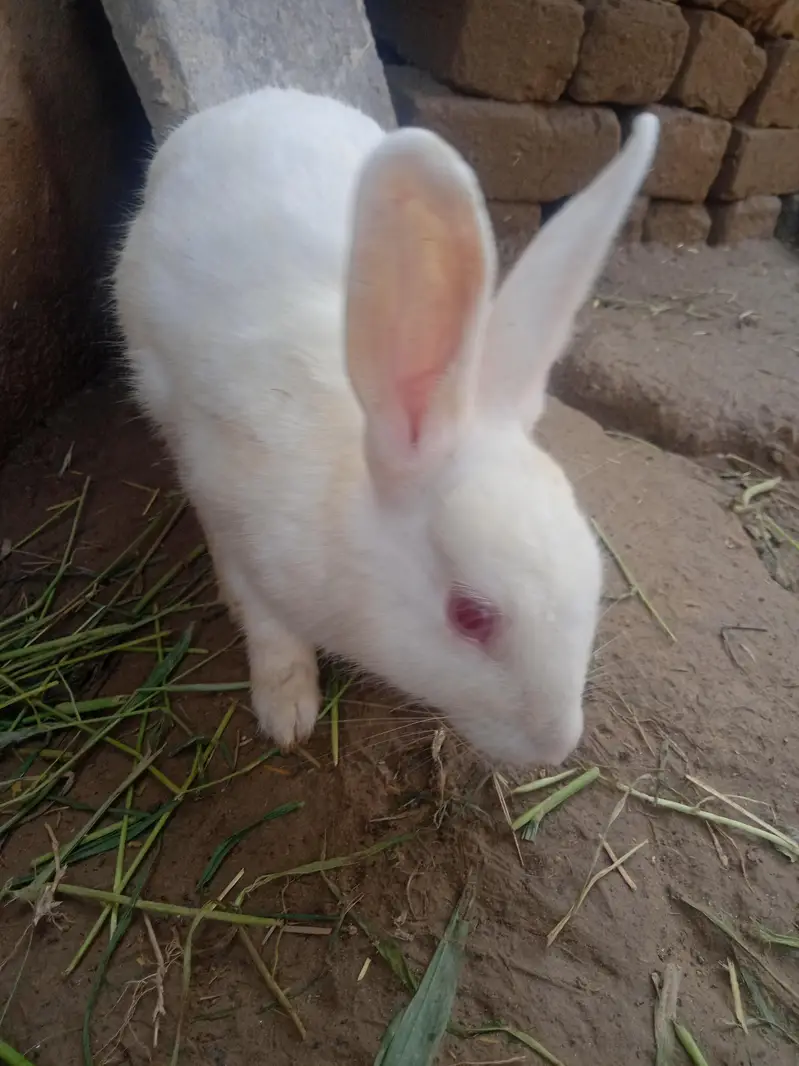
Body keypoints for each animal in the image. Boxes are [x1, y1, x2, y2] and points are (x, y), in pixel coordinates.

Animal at [113, 87, 658, 768]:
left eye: (595, 575)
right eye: (469, 617)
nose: (556, 745)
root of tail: (244, 103)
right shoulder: (234, 507)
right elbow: (269, 627)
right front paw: (288, 711)